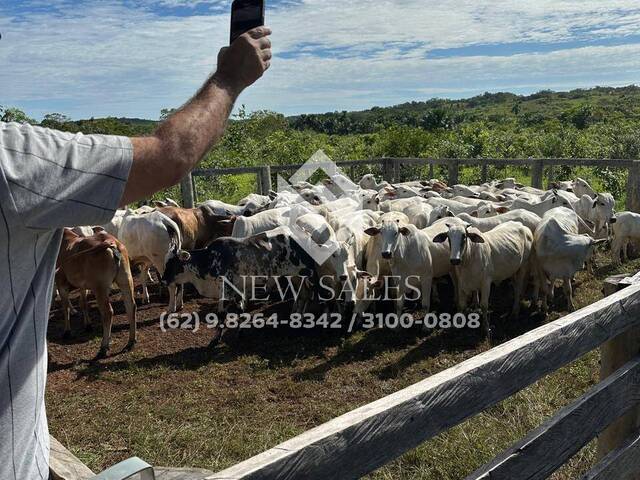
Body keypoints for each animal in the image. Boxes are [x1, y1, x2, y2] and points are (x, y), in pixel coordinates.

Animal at [56, 228, 139, 356]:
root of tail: (111, 242)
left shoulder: (61, 283)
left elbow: (66, 307)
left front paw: (67, 332)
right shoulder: (83, 285)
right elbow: (83, 303)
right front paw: (88, 325)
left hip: (100, 288)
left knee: (108, 312)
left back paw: (103, 347)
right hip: (126, 280)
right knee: (131, 306)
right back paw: (130, 342)